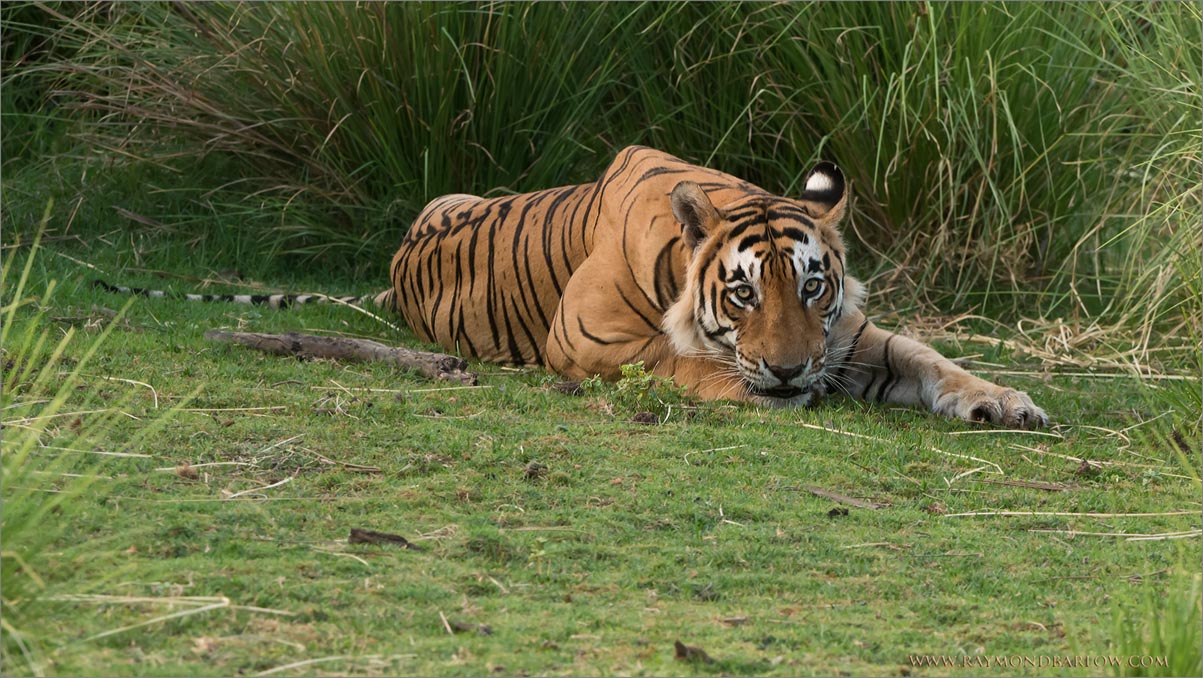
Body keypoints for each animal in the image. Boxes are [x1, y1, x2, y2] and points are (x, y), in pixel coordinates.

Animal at [375, 147, 1044, 427]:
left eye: (813, 287)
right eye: (744, 293)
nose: (788, 372)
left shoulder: (845, 341)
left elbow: (926, 358)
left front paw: (1004, 401)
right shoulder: (583, 340)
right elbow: (680, 357)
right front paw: (752, 388)